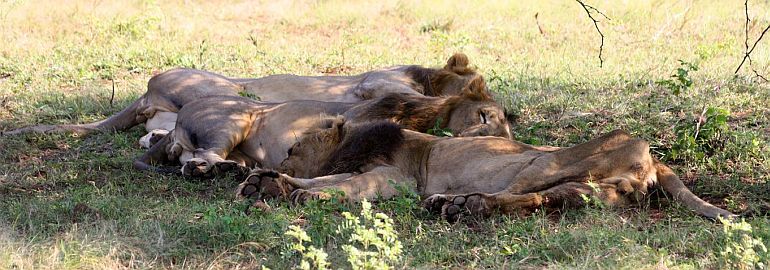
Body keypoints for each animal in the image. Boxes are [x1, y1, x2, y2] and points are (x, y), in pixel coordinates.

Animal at [130, 75, 510, 177]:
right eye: (484, 116)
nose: (485, 139)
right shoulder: (349, 125)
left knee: (188, 157)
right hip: (232, 119)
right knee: (202, 155)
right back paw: (216, 170)